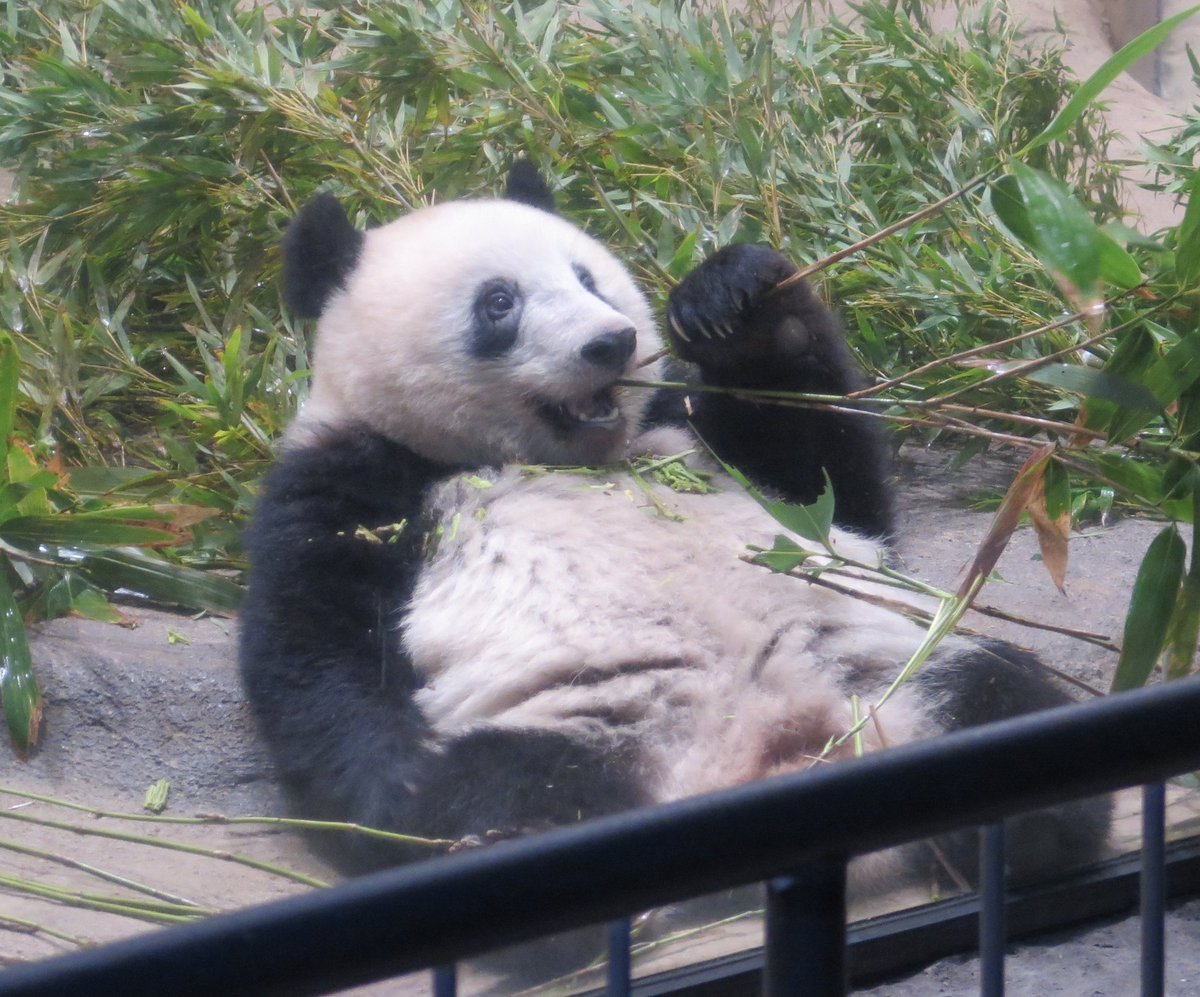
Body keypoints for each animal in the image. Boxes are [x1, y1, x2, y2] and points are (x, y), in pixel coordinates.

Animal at [238, 159, 1108, 902]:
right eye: (499, 303)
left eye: (585, 276)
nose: (611, 341)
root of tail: (773, 750)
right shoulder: (354, 484)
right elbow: (319, 653)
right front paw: (399, 784)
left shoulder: (688, 431)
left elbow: (830, 490)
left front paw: (736, 299)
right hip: (584, 727)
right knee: (522, 796)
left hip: (885, 672)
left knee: (995, 696)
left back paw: (1031, 828)